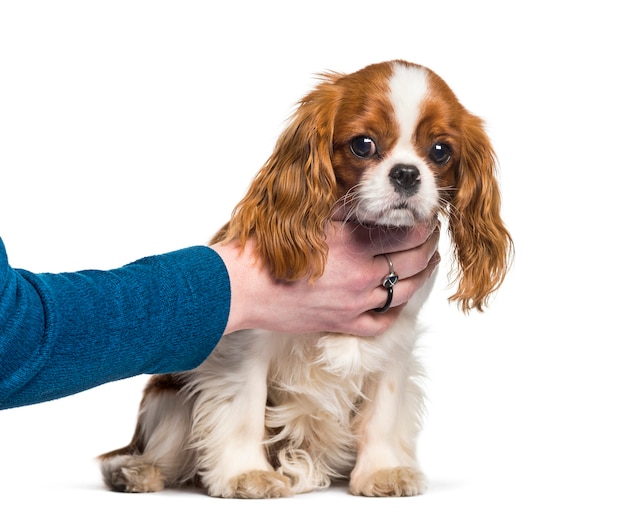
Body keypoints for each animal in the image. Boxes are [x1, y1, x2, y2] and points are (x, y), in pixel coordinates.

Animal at [100, 59, 512, 498]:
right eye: (363, 144)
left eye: (440, 151)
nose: (406, 174)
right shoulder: (247, 344)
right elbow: (245, 408)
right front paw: (246, 474)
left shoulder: (395, 339)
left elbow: (384, 410)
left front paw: (380, 471)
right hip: (169, 402)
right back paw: (137, 471)